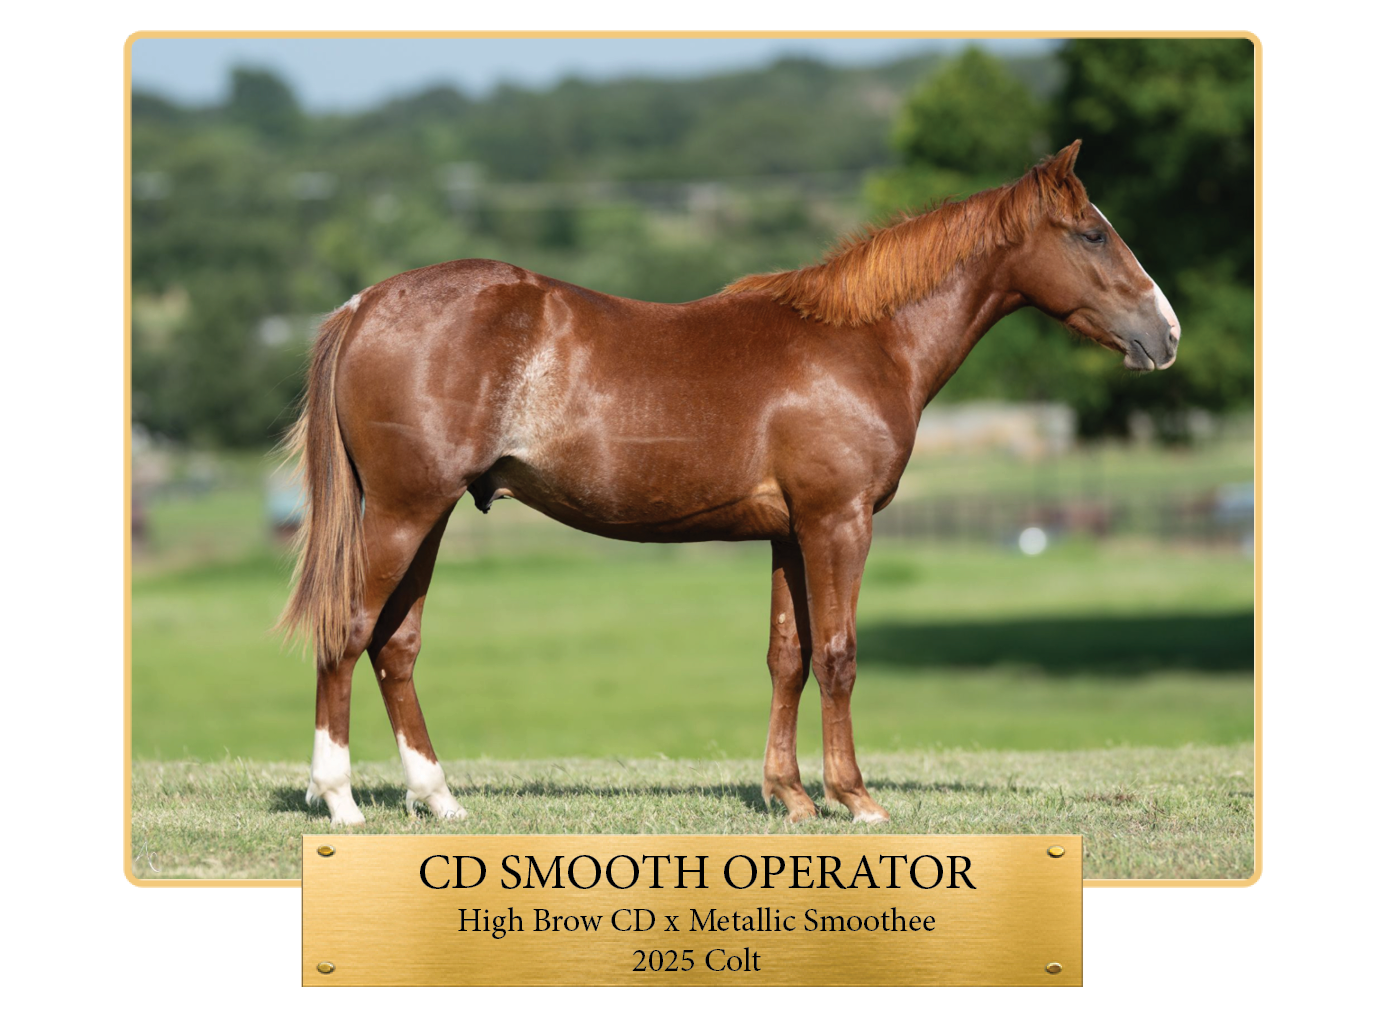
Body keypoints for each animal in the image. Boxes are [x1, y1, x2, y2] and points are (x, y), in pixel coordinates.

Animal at [279, 140, 1179, 826]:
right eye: (1091, 234)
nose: (1165, 333)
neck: (864, 341)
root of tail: (365, 303)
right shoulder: (838, 522)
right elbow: (839, 655)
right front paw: (855, 799)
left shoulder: (789, 533)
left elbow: (788, 656)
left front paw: (789, 796)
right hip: (402, 514)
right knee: (347, 632)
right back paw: (340, 801)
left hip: (426, 518)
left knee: (395, 646)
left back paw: (438, 800)